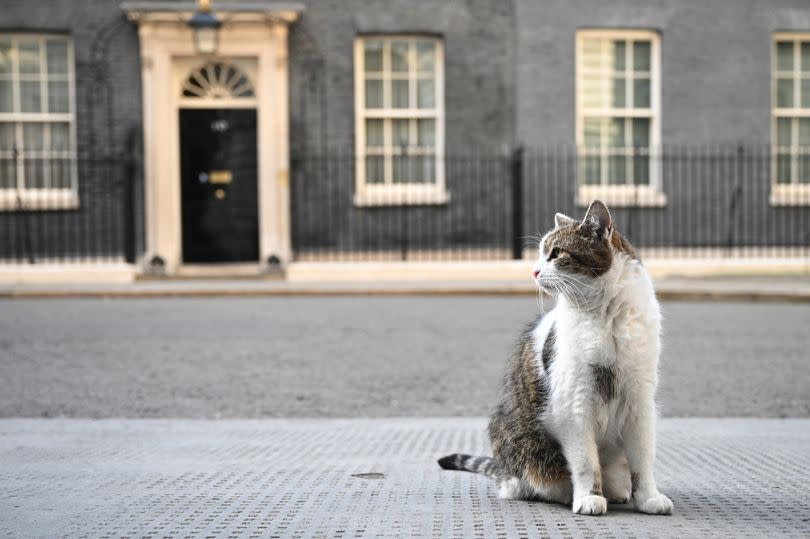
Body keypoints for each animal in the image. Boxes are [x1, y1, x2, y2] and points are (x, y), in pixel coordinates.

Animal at [438, 200, 672, 516]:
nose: (534, 271)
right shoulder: (574, 403)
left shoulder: (640, 402)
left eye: (557, 253)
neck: (605, 316)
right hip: (514, 439)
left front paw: (648, 498)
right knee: (523, 481)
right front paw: (588, 497)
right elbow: (586, 462)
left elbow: (643, 461)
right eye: (540, 254)